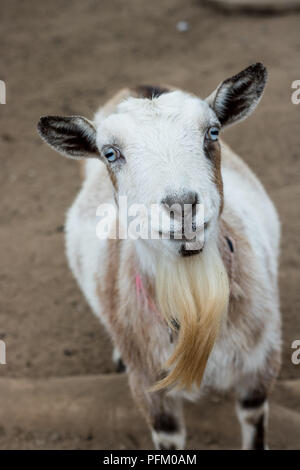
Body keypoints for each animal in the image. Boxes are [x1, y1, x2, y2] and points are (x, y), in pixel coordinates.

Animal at [37, 64, 282, 450]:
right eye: (110, 153)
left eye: (213, 132)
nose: (181, 205)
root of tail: (137, 84)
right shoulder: (150, 387)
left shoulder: (261, 364)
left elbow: (254, 422)